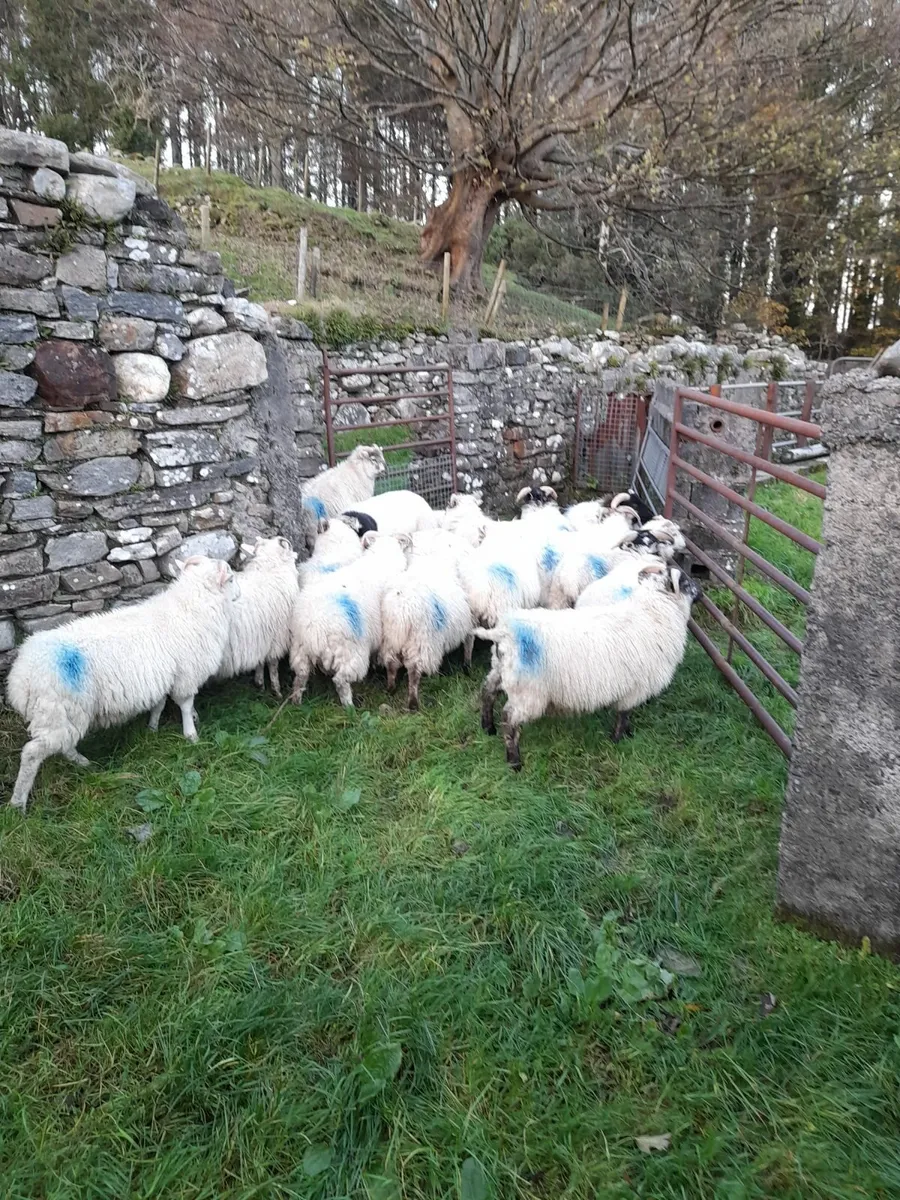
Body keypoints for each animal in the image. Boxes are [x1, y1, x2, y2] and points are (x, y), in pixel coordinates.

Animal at [6, 556, 239, 812]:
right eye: (231, 578)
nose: (238, 595)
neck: (191, 606)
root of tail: (22, 676)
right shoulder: (186, 675)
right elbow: (186, 706)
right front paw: (191, 736)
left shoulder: (161, 677)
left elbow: (158, 705)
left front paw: (152, 728)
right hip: (57, 710)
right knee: (32, 753)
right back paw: (18, 802)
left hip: (63, 714)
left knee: (63, 745)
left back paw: (83, 763)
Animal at [218, 536, 299, 698]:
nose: (282, 538)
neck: (269, 569)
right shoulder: (276, 638)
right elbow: (272, 665)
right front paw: (276, 691)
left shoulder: (261, 639)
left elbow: (260, 662)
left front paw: (259, 683)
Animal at [290, 531, 411, 707]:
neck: (382, 557)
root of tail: (315, 630)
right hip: (350, 653)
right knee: (340, 681)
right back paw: (349, 706)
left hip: (300, 650)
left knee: (300, 677)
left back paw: (296, 702)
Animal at [380, 541, 475, 710]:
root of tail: (402, 609)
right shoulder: (468, 625)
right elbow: (469, 645)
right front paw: (467, 666)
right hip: (422, 641)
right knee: (414, 670)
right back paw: (413, 702)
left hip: (390, 639)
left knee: (391, 664)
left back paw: (391, 688)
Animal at [477, 562, 702, 769]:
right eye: (685, 582)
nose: (701, 590)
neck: (654, 612)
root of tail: (504, 632)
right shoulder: (636, 688)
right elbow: (623, 714)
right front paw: (619, 739)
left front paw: (627, 734)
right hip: (528, 692)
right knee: (509, 720)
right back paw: (514, 761)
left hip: (501, 670)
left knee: (487, 692)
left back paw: (487, 727)